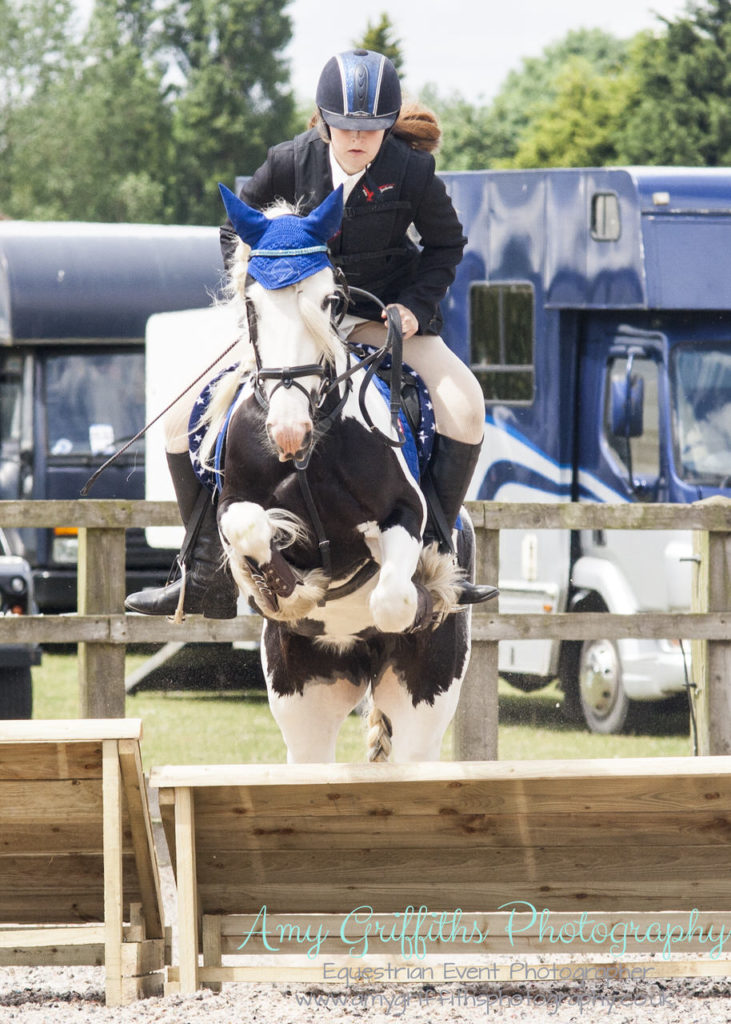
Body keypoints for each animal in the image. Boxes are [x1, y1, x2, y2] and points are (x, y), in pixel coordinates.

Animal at [193, 184, 475, 765]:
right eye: (252, 304)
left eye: (328, 301)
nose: (288, 430)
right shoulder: (232, 502)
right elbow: (249, 528)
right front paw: (288, 591)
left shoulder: (405, 513)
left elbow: (393, 600)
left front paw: (422, 591)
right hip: (303, 697)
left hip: (424, 700)